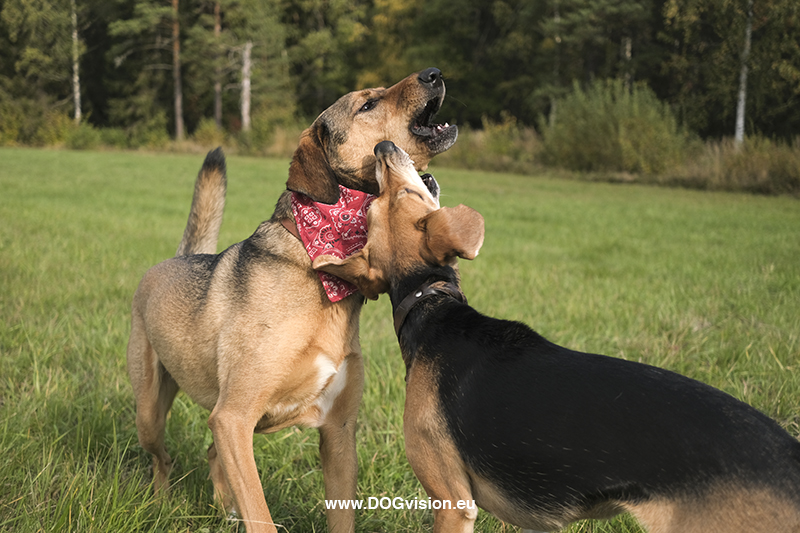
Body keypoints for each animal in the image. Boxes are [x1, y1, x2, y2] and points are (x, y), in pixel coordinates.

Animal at [129, 67, 460, 532]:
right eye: (368, 103)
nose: (434, 73)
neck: (323, 270)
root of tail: (177, 257)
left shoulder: (338, 431)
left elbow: (340, 516)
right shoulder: (233, 416)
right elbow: (261, 515)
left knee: (211, 454)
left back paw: (223, 510)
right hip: (151, 412)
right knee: (162, 459)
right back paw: (161, 503)